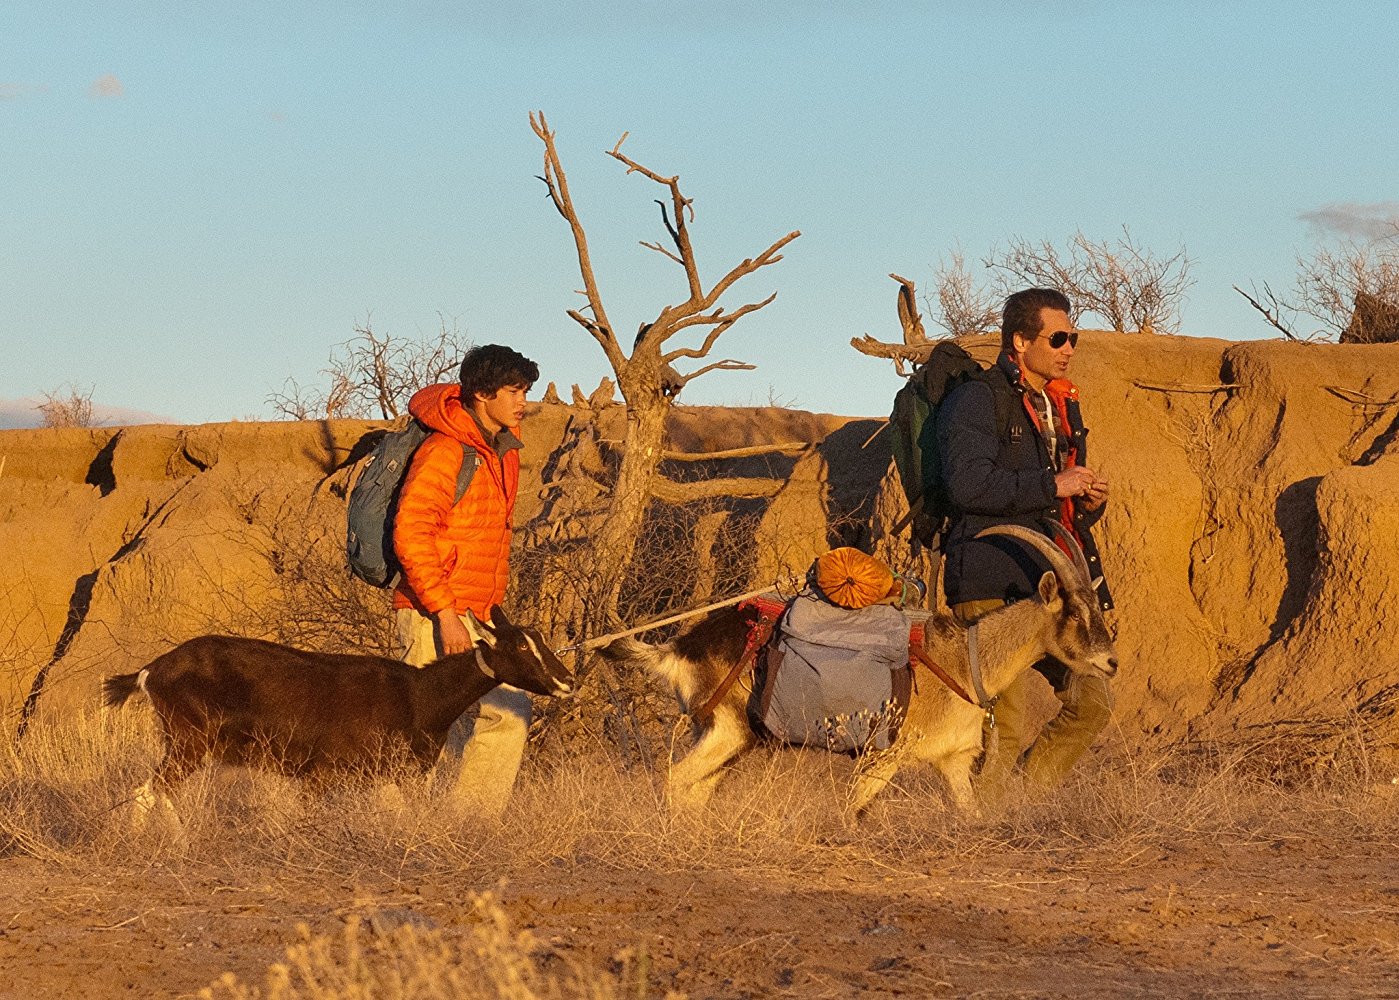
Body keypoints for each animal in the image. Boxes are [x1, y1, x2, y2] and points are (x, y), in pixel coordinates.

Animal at [103, 606, 573, 824]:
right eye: (520, 645)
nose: (567, 680)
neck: (419, 696)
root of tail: (151, 671)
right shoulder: (322, 773)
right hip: (189, 742)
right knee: (150, 790)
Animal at [600, 525, 1118, 815]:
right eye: (1075, 613)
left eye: (1097, 608)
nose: (1110, 662)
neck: (966, 660)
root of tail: (678, 649)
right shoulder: (883, 757)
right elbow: (851, 811)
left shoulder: (952, 762)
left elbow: (970, 816)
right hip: (728, 730)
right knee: (675, 780)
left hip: (724, 738)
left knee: (696, 789)